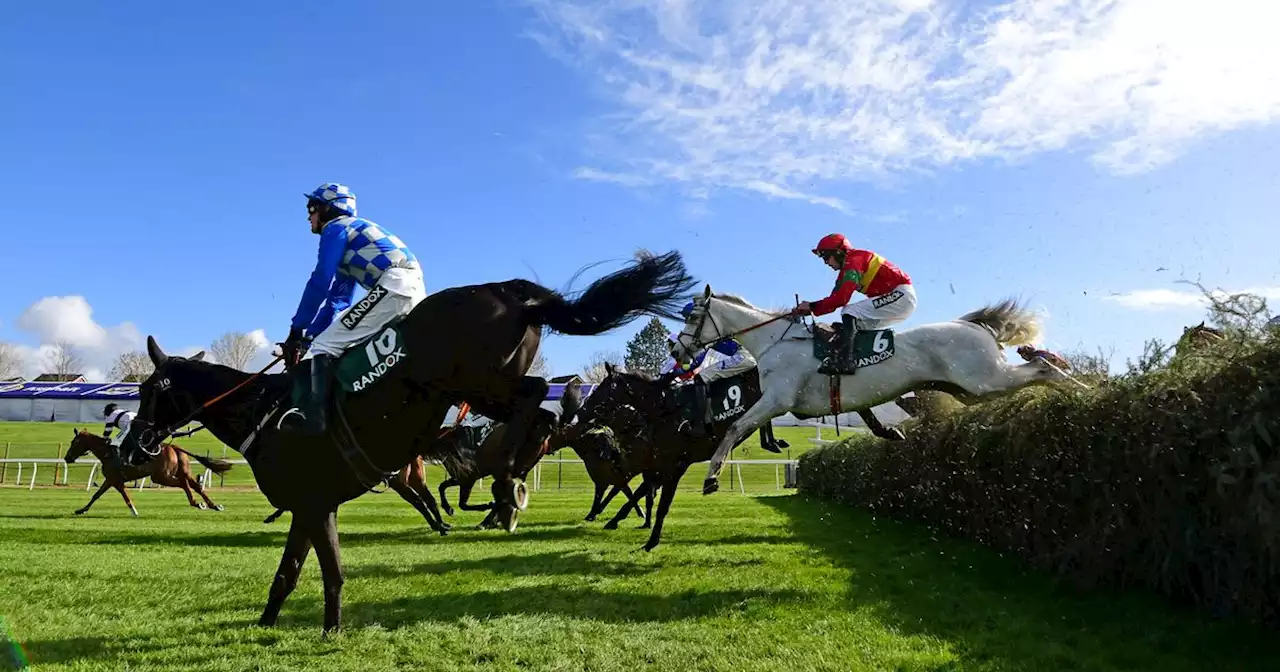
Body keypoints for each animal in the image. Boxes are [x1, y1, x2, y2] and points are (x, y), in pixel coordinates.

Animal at [120, 248, 696, 632]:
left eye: (149, 391)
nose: (131, 447)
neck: (263, 412)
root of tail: (510, 291)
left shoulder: (311, 502)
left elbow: (316, 571)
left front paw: (322, 629)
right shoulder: (315, 506)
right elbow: (302, 573)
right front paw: (282, 625)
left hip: (474, 381)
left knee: (538, 402)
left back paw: (506, 487)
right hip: (484, 387)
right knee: (544, 410)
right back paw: (511, 481)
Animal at [675, 282, 1075, 491]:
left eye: (693, 318)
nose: (677, 350)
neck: (776, 339)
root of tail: (973, 325)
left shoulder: (777, 398)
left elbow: (735, 428)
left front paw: (711, 477)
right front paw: (890, 432)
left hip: (984, 378)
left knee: (1042, 368)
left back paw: (1079, 390)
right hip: (969, 389)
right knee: (1034, 371)